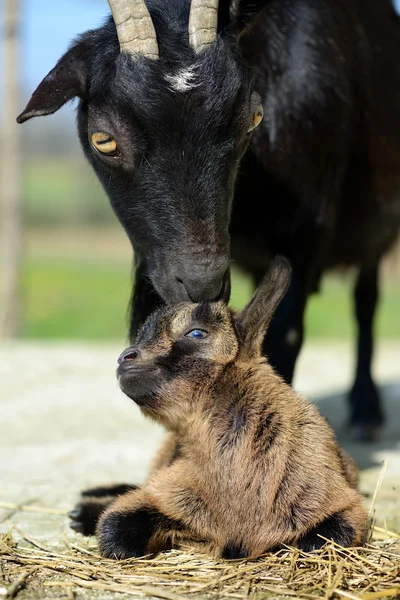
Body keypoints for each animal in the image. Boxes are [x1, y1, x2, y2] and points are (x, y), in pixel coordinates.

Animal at [18, 1, 400, 440]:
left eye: (254, 117)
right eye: (104, 140)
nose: (202, 284)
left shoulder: (307, 223)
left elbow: (281, 336)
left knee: (366, 298)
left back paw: (367, 410)